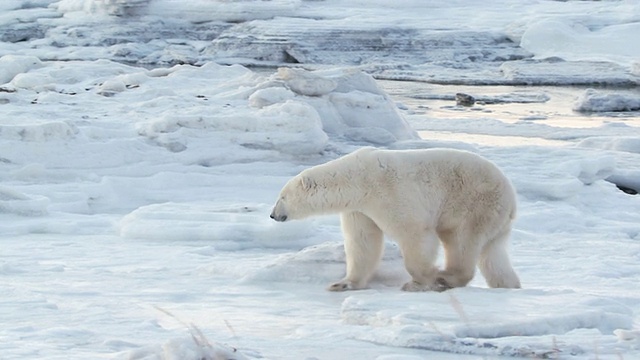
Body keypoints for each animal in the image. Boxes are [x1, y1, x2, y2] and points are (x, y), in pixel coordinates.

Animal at [270, 148, 520, 292]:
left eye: (282, 196)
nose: (273, 214)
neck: (357, 180)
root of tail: (511, 198)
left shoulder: (389, 192)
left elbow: (415, 234)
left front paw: (421, 281)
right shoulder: (359, 210)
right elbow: (362, 243)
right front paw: (343, 283)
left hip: (473, 205)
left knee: (461, 241)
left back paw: (445, 278)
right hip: (495, 220)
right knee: (493, 255)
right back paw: (509, 285)